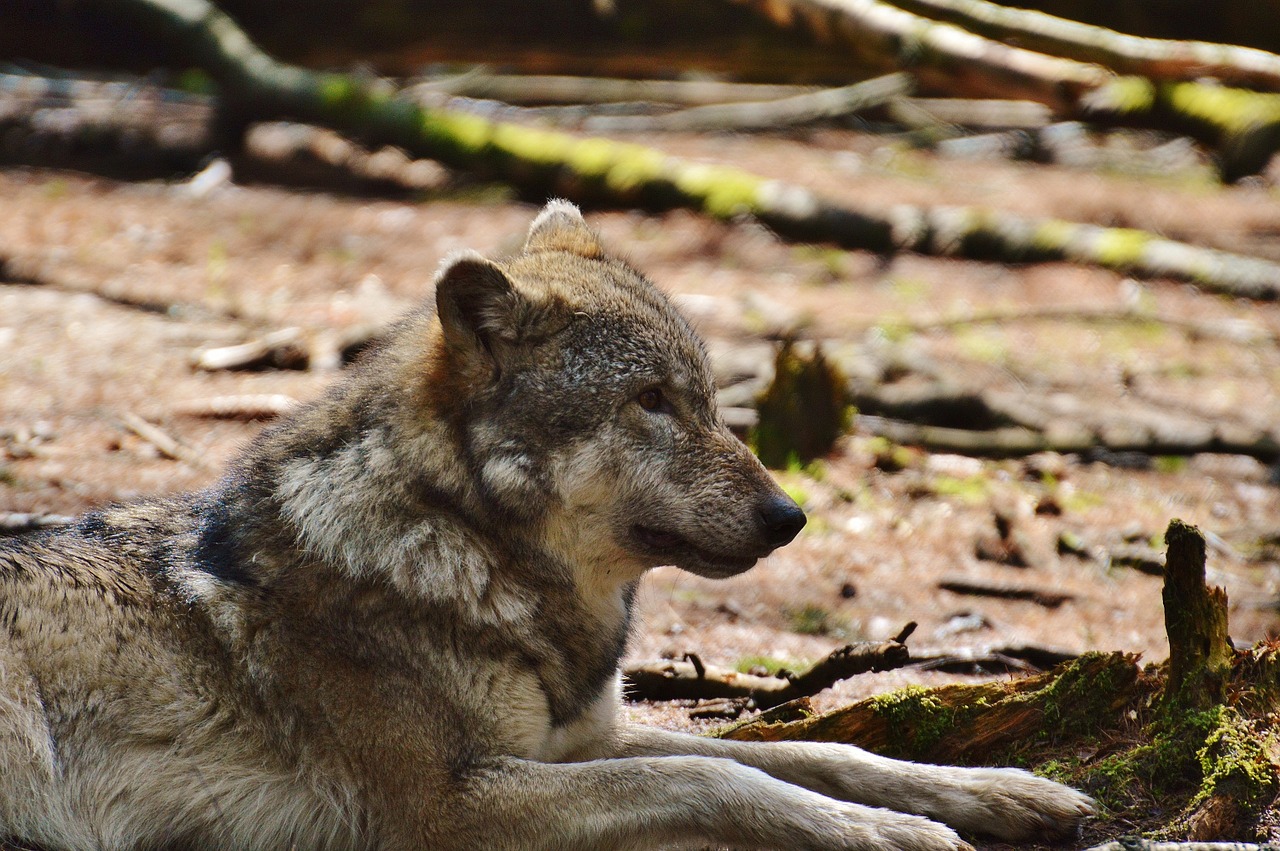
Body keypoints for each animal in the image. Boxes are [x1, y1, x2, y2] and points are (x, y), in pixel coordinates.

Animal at [0, 200, 1090, 849]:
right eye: (649, 400)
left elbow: (813, 752)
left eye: (706, 398)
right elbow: (714, 771)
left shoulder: (576, 739)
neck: (472, 554)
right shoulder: (444, 802)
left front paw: (1006, 791)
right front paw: (886, 833)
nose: (792, 515)